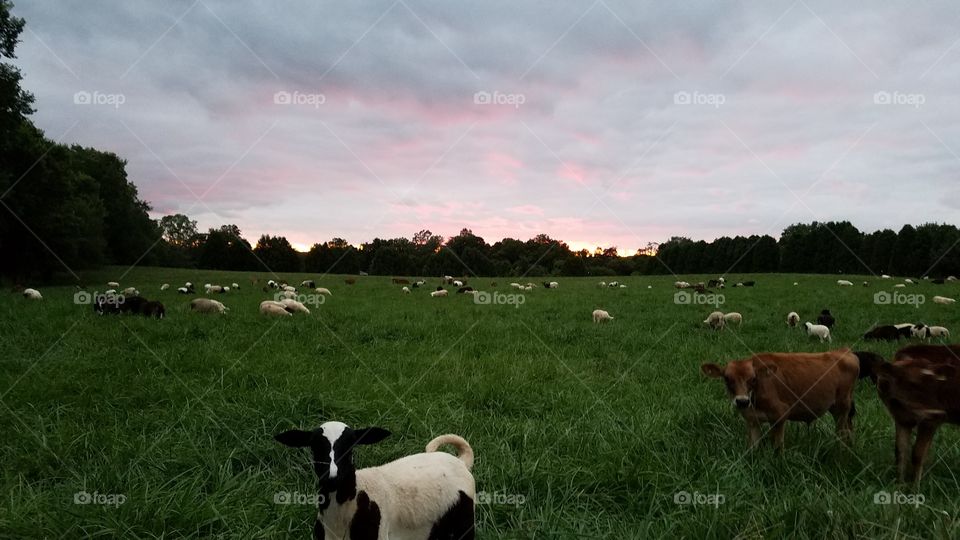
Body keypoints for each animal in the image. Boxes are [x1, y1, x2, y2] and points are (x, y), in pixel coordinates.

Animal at [701, 349, 859, 452]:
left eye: (753, 379)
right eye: (727, 379)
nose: (742, 401)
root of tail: (844, 351)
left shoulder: (780, 415)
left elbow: (778, 448)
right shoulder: (752, 420)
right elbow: (753, 448)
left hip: (842, 406)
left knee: (842, 432)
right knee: (849, 429)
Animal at [875, 344, 960, 483]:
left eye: (937, 383)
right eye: (913, 384)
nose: (939, 412)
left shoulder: (929, 421)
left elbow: (918, 455)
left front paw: (916, 486)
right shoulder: (901, 419)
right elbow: (900, 451)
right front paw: (900, 483)